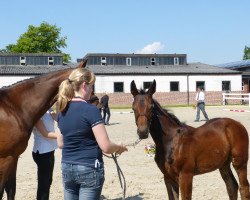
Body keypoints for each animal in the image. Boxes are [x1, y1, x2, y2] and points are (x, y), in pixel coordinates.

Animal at [0, 60, 86, 198]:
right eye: (86, 83)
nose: (97, 103)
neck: (13, 108)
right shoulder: (4, 158)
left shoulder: (13, 157)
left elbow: (11, 189)